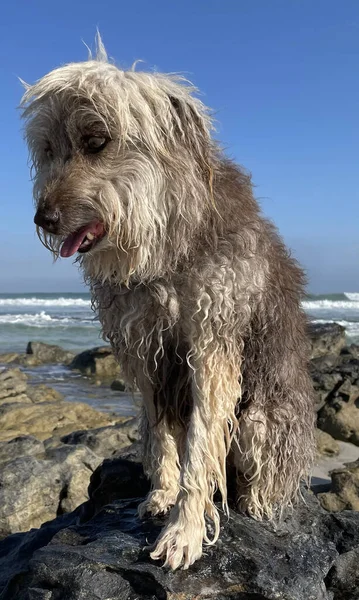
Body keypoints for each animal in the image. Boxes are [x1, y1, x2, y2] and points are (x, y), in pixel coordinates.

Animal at [20, 35, 316, 568]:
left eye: (96, 141)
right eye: (49, 149)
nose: (44, 218)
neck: (165, 250)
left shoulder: (213, 342)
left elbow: (200, 446)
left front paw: (185, 531)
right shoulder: (144, 347)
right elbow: (163, 437)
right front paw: (162, 495)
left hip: (263, 419)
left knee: (259, 473)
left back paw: (255, 503)